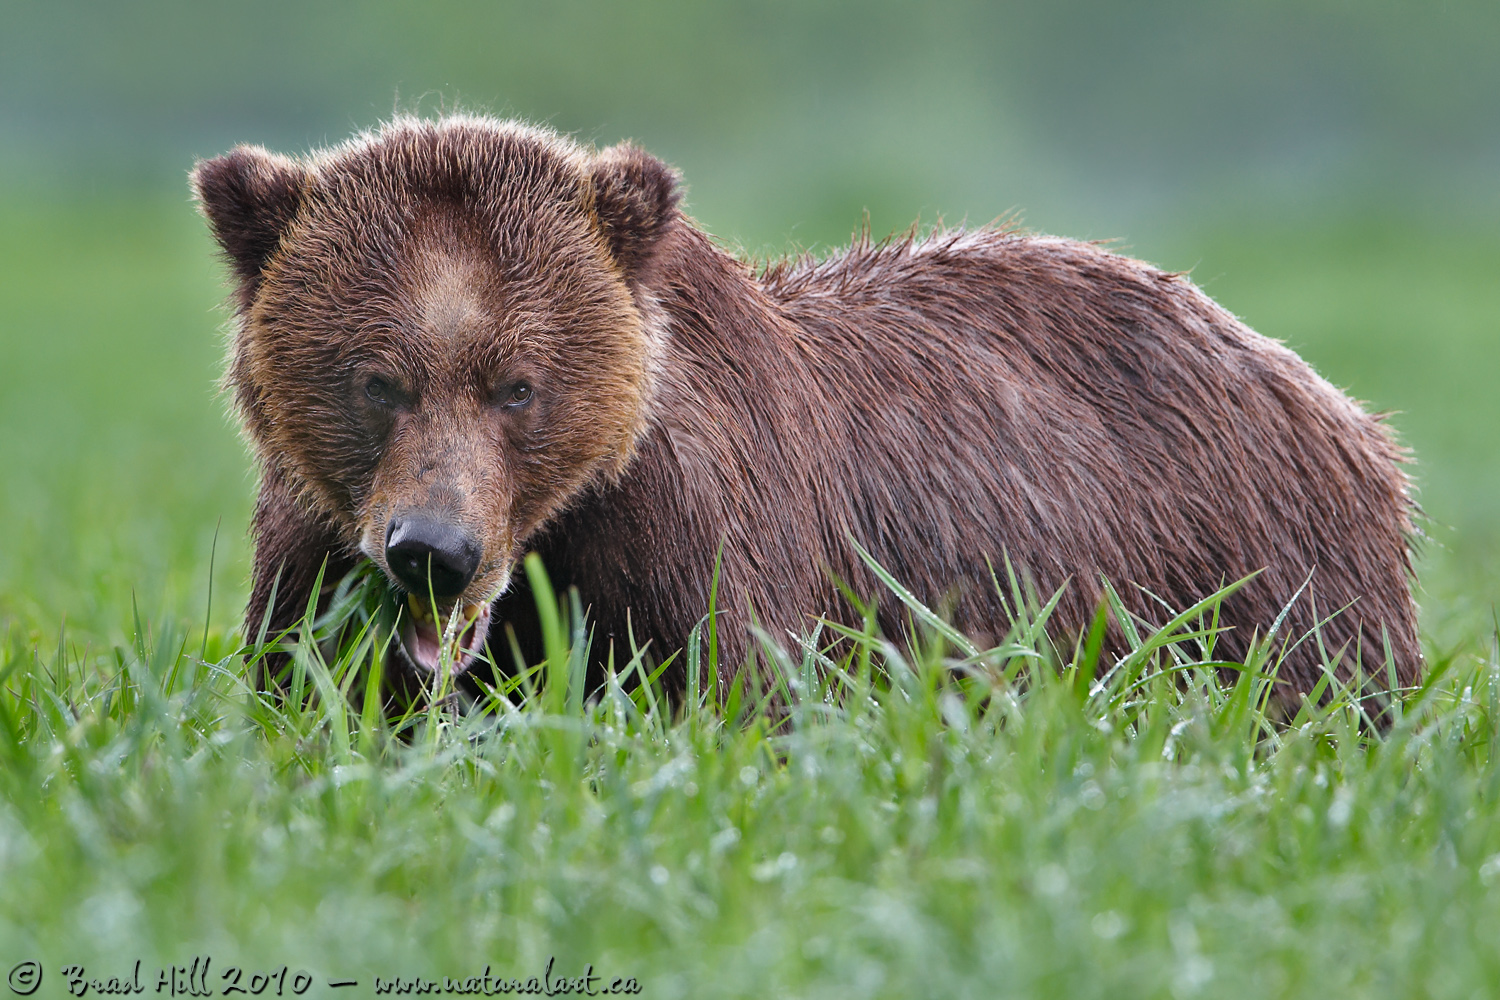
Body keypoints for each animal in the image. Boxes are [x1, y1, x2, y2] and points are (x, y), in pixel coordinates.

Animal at [193, 115, 1422, 704]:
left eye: (517, 384)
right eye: (375, 378)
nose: (434, 551)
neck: (563, 529)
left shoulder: (700, 536)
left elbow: (732, 693)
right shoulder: (318, 547)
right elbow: (313, 686)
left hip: (1249, 574)